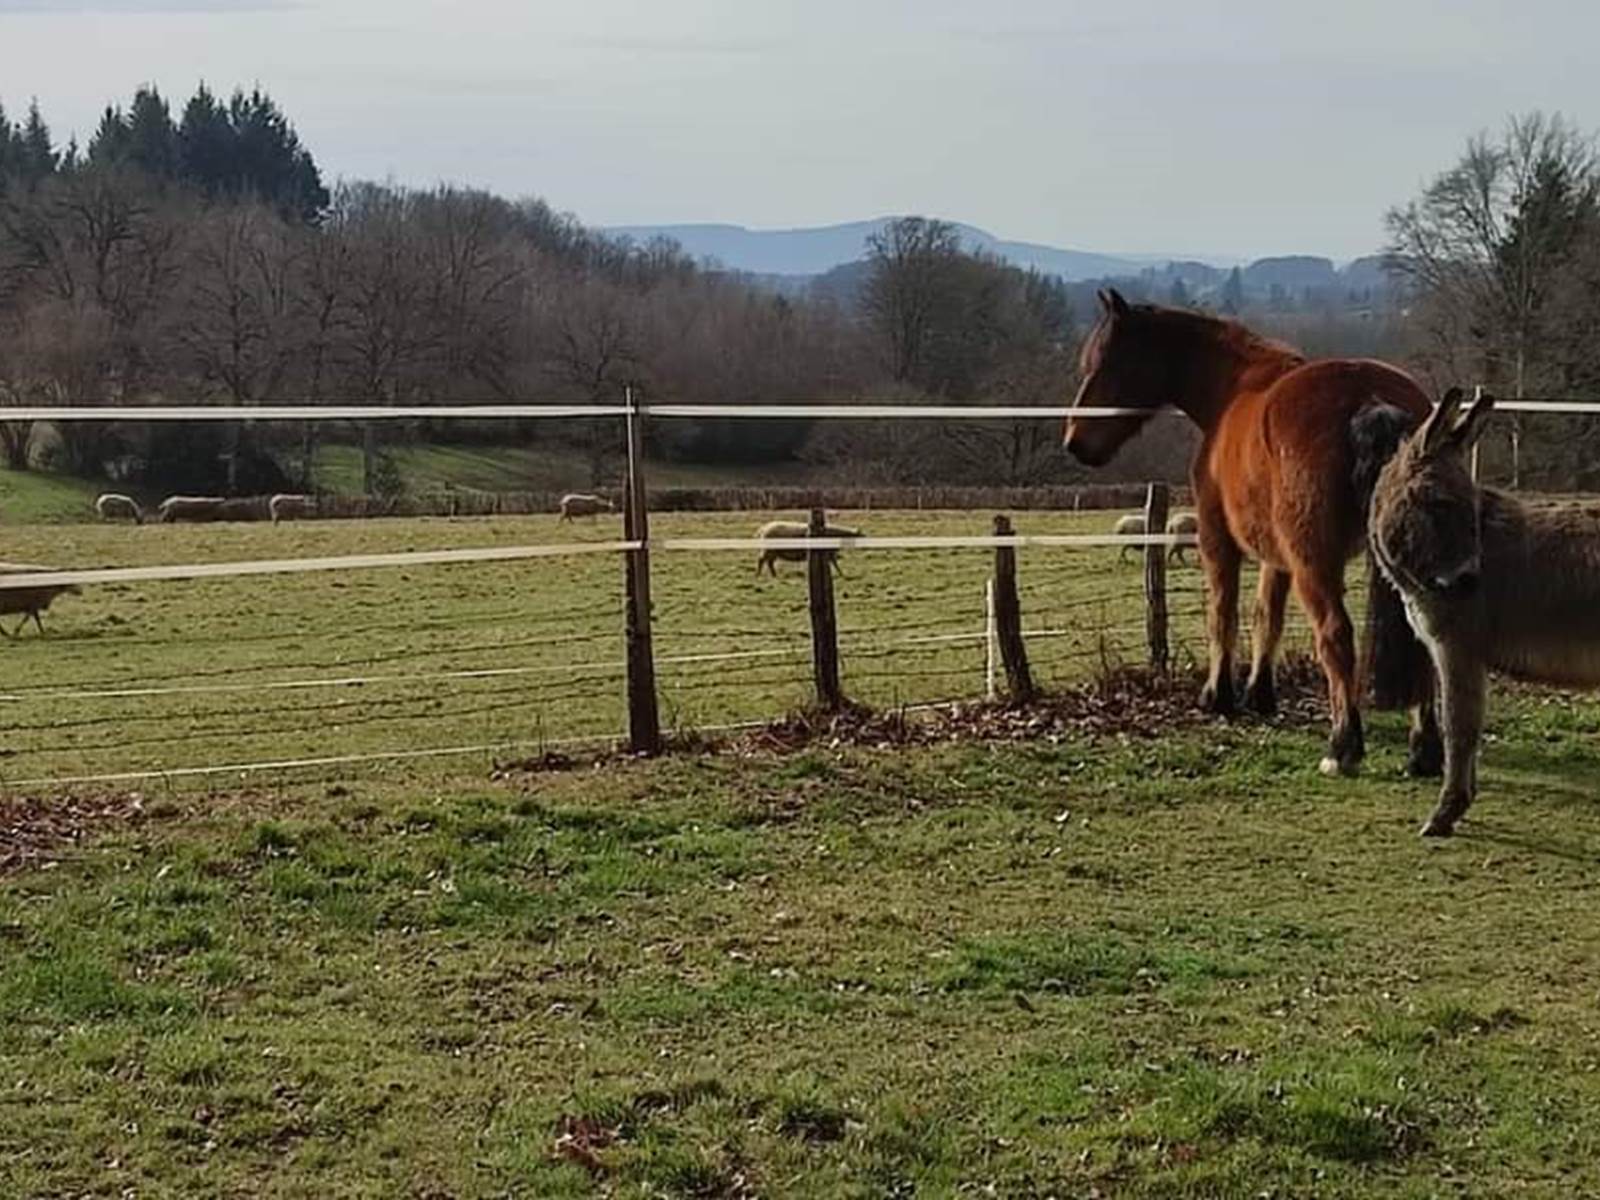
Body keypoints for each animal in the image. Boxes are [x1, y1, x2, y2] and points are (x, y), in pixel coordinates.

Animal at [1063, 289, 1440, 779]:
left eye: (1106, 363)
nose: (1074, 442)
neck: (1232, 390)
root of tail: (1371, 400)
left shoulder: (1217, 541)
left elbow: (1222, 612)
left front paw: (1218, 695)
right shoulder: (1276, 555)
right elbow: (1267, 615)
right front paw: (1259, 693)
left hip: (1315, 565)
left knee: (1335, 636)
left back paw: (1343, 745)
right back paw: (1424, 749)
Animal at [1370, 388, 1600, 836]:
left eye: (1470, 506)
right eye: (1439, 503)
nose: (1468, 582)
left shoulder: (1458, 648)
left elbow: (1458, 727)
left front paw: (1445, 813)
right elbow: (1462, 725)